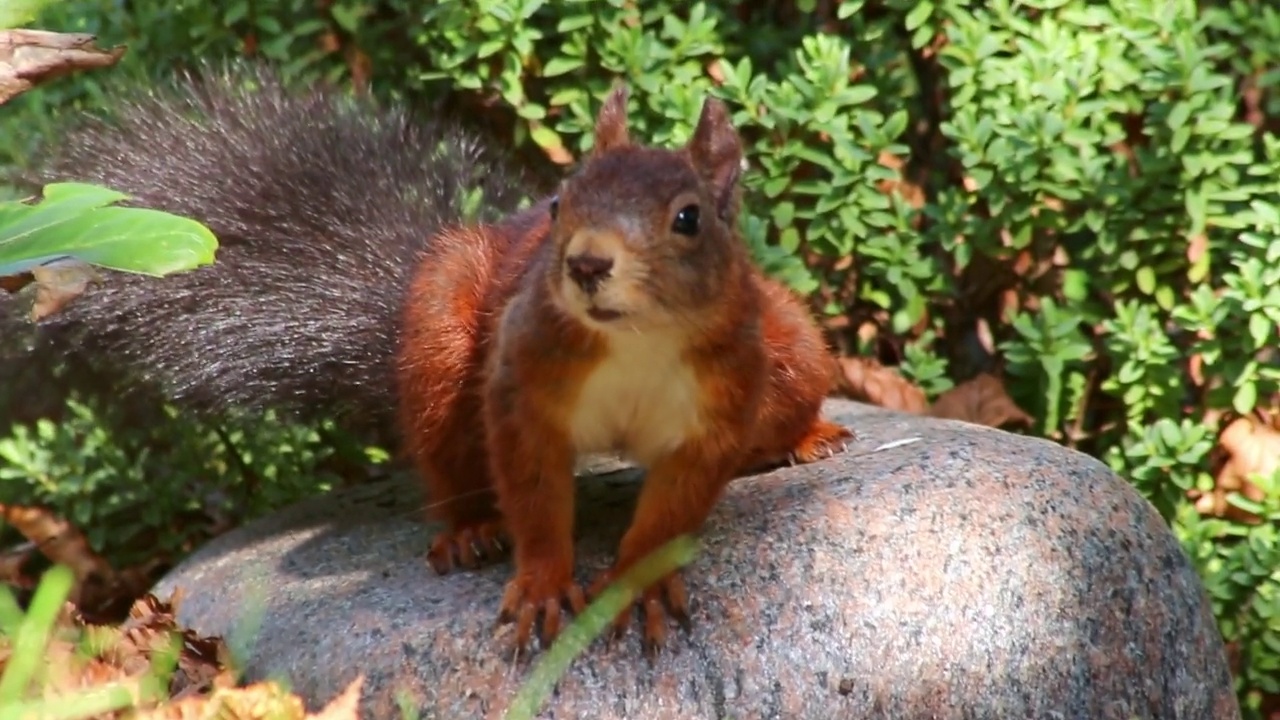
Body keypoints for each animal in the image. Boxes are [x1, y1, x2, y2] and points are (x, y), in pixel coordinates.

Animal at [10, 64, 855, 653]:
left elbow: (674, 510)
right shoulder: (520, 387)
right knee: (448, 460)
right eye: (559, 202)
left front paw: (638, 586)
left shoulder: (716, 406)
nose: (584, 263)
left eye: (689, 218)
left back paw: (806, 438)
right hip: (442, 339)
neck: (634, 345)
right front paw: (542, 583)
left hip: (793, 345)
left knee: (791, 397)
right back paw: (470, 528)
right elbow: (534, 493)